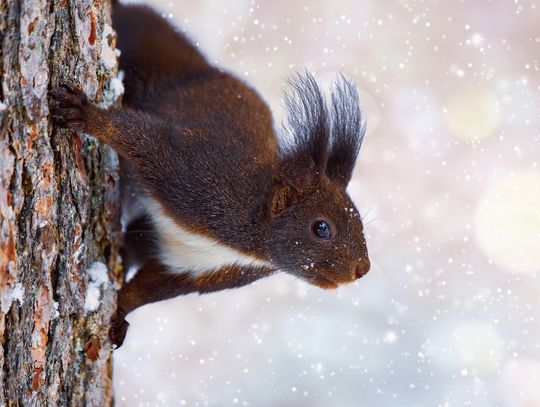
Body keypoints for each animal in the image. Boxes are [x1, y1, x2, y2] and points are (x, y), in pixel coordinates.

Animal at [49, 1, 372, 350]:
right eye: (322, 228)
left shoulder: (193, 270)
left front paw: (120, 314)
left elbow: (147, 289)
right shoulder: (196, 172)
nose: (363, 269)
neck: (244, 243)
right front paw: (86, 115)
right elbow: (143, 138)